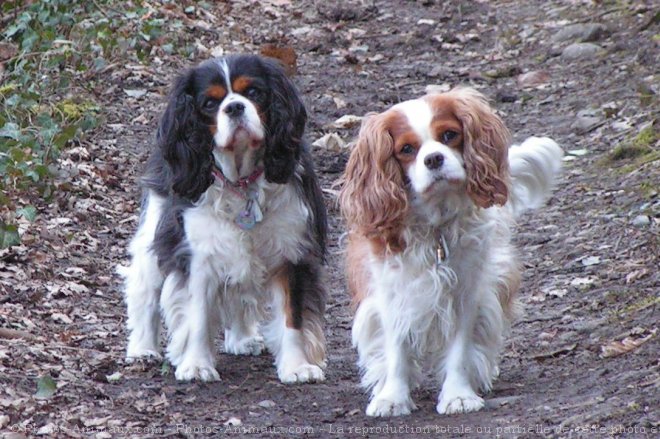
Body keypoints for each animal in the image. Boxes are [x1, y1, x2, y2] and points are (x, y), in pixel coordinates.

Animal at [120, 55, 328, 384]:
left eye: (253, 92)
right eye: (209, 103)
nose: (234, 107)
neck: (241, 181)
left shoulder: (292, 251)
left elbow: (291, 316)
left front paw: (297, 367)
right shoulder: (197, 254)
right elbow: (197, 315)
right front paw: (196, 365)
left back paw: (242, 339)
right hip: (156, 229)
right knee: (144, 289)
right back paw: (142, 348)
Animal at [340, 87, 564, 418]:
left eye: (449, 135)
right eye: (406, 149)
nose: (434, 158)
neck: (435, 225)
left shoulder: (466, 290)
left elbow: (459, 348)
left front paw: (458, 395)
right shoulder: (392, 291)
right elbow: (396, 349)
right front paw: (392, 397)